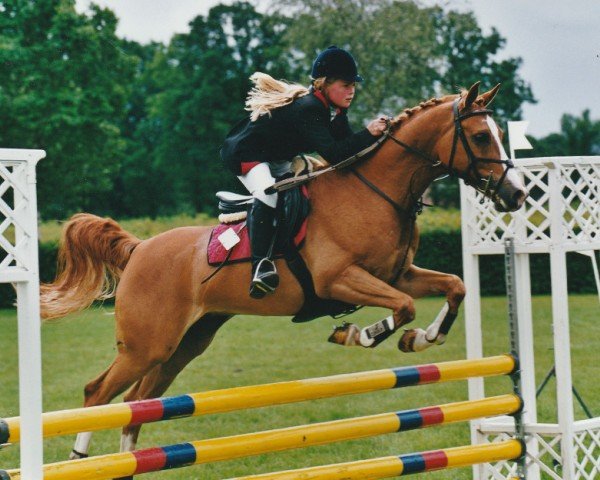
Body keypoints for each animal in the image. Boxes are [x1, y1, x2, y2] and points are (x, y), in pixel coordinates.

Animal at [39, 83, 528, 472]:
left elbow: (453, 287)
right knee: (97, 393)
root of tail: (140, 249)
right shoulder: (338, 280)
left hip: (186, 343)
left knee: (136, 401)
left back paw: (129, 461)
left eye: (500, 135)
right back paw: (81, 458)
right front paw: (360, 334)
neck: (377, 192)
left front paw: (420, 340)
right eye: (481, 136)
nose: (517, 195)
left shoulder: (400, 274)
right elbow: (401, 308)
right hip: (147, 344)